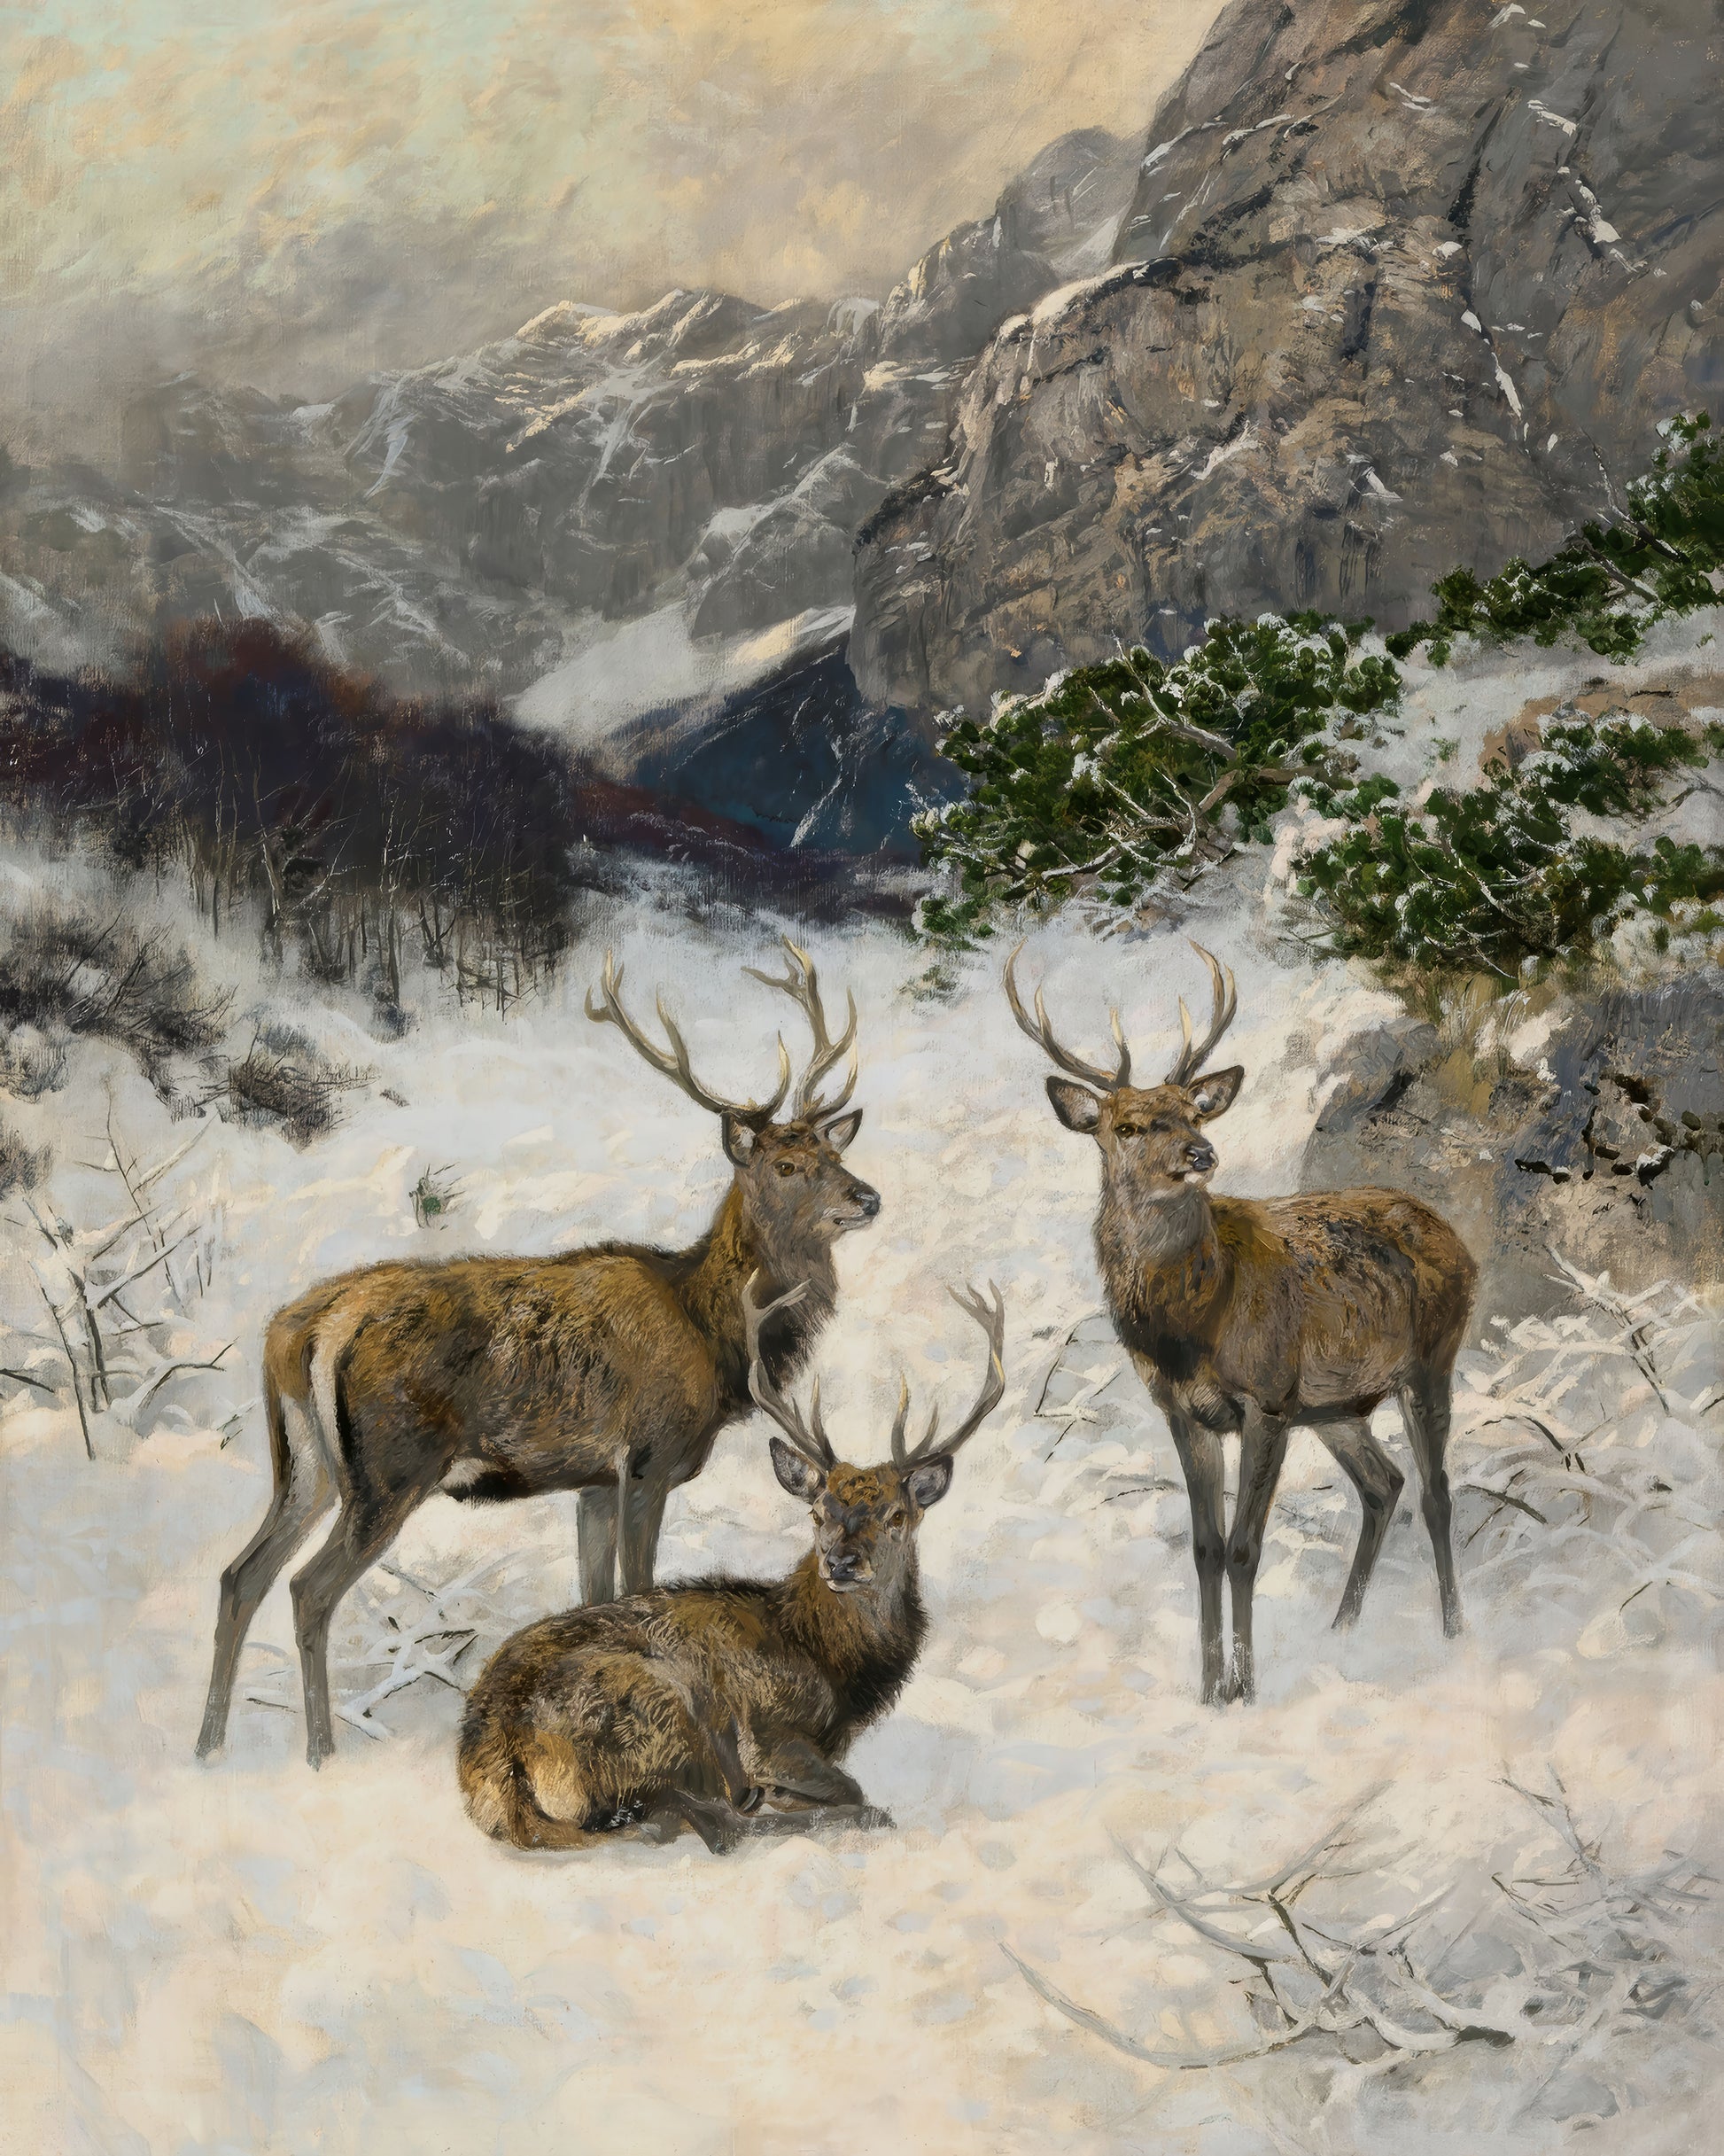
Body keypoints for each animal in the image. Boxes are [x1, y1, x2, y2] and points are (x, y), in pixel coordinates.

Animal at [197, 939, 881, 1769]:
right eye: (784, 1165)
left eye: (828, 1152)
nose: (868, 1197)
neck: (713, 1339)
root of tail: (303, 1328)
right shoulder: (648, 1458)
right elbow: (638, 1591)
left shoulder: (590, 1482)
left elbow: (594, 1600)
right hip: (389, 1467)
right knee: (308, 1589)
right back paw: (322, 1754)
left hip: (304, 1465)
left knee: (240, 1575)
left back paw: (208, 1747)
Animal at [457, 1273, 1007, 1852]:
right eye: (818, 1512)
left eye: (897, 1515)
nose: (841, 1563)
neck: (827, 1661)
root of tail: (497, 1761)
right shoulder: (768, 1731)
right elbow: (849, 1787)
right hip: (659, 1709)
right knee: (708, 1822)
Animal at [1005, 942, 1476, 1706]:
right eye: (1126, 1126)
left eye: (1194, 1114)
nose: (1200, 1154)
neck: (1193, 1322)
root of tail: (1453, 1234)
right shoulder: (1184, 1409)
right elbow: (1204, 1549)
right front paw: (1206, 1692)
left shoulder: (1267, 1396)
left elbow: (1245, 1548)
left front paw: (1245, 1689)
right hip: (1336, 1404)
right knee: (1384, 1485)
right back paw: (1340, 1630)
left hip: (1432, 1357)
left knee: (1436, 1493)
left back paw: (1455, 1630)